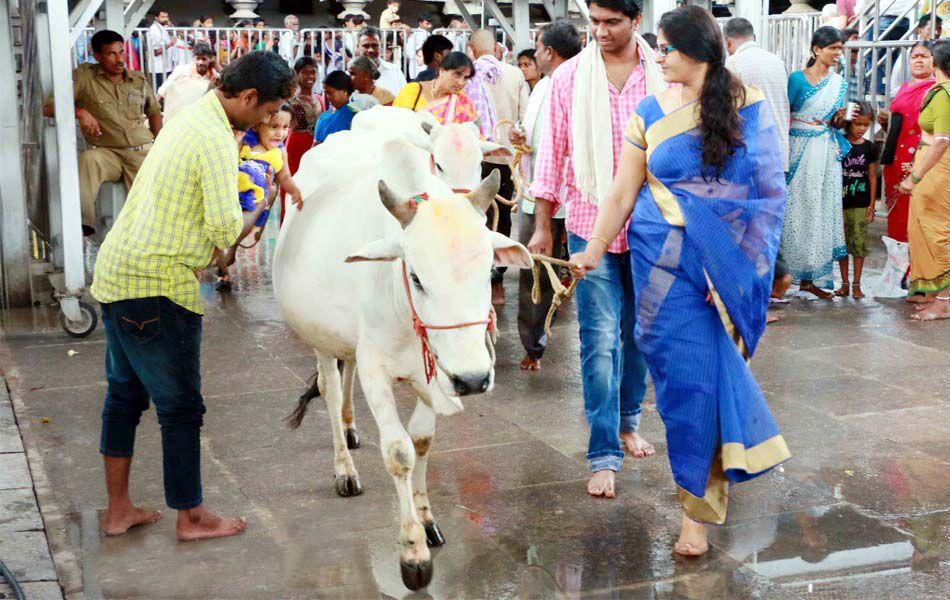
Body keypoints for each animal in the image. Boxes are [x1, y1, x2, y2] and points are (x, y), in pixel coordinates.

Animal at [274, 112, 536, 592]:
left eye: (488, 269)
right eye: (415, 276)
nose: (474, 379)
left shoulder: (435, 374)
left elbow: (422, 441)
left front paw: (428, 522)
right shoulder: (379, 371)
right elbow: (399, 452)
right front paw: (412, 553)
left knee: (346, 373)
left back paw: (351, 427)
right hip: (318, 337)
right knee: (331, 387)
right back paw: (345, 468)